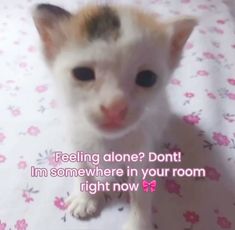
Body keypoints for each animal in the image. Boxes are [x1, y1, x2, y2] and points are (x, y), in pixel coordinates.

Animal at [32, 3, 196, 230]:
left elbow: (142, 191)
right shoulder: (75, 138)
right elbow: (81, 169)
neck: (108, 141)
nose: (114, 107)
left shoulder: (143, 152)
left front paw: (138, 223)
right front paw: (84, 197)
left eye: (147, 78)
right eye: (83, 73)